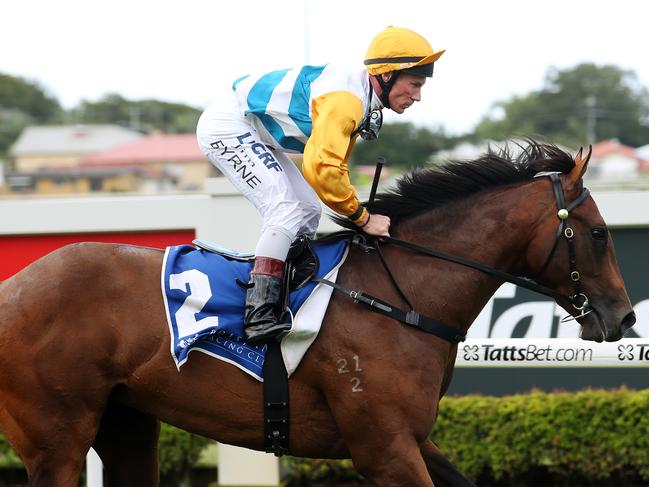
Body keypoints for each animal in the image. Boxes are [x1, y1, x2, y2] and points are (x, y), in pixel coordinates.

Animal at [0, 140, 632, 484]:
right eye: (599, 233)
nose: (624, 318)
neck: (401, 296)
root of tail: (15, 286)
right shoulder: (383, 448)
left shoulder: (409, 437)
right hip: (57, 437)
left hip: (126, 422)